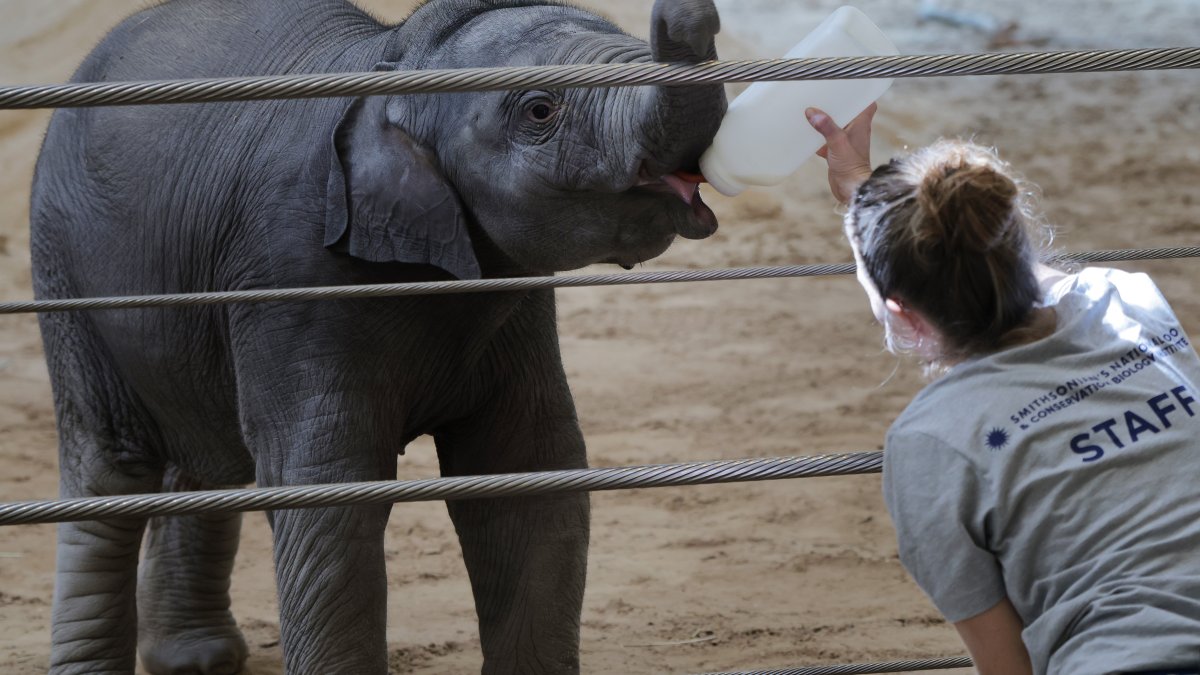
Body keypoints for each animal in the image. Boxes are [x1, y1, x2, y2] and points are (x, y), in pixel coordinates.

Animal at [29, 0, 726, 673]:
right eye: (540, 109)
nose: (696, 12)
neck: (397, 62)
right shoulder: (291, 269)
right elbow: (333, 488)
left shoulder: (518, 301)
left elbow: (527, 471)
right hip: (65, 267)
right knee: (112, 467)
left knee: (209, 450)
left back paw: (195, 658)